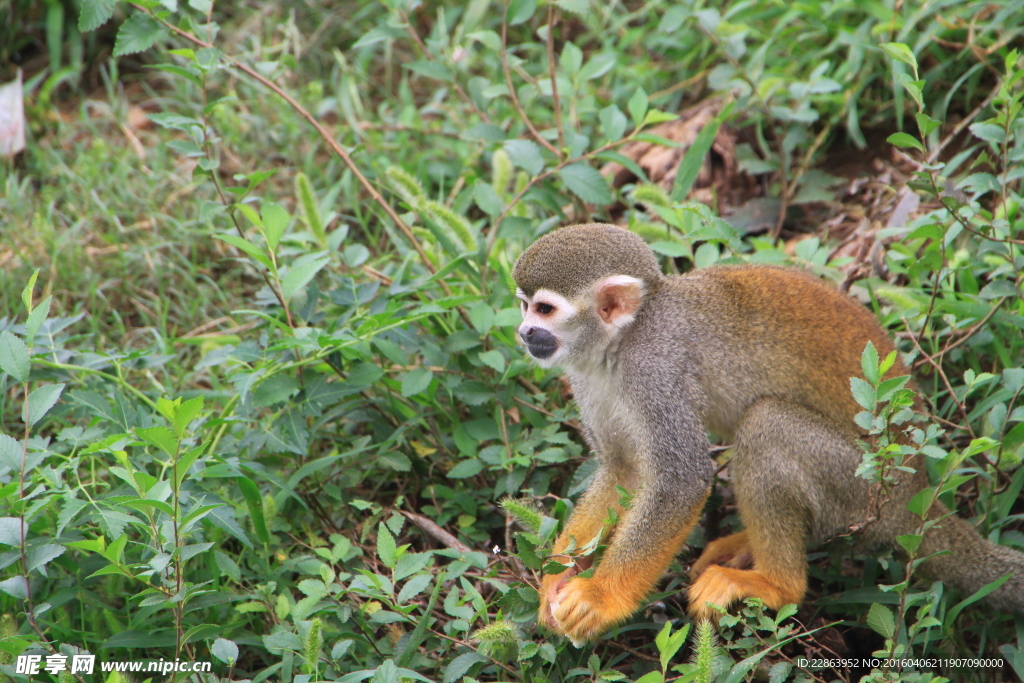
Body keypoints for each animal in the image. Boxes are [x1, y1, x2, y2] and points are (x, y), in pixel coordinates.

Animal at [516, 223, 1019, 647]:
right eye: (524, 305)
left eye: (544, 309)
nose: (523, 332)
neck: (621, 342)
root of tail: (915, 491)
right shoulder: (587, 377)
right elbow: (623, 470)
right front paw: (556, 577)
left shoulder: (655, 369)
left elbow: (682, 480)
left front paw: (599, 598)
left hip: (861, 485)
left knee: (767, 425)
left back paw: (777, 585)